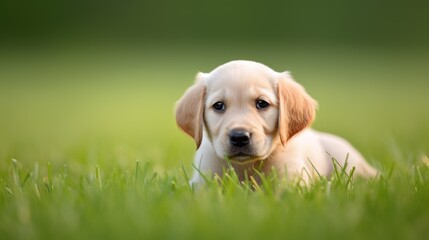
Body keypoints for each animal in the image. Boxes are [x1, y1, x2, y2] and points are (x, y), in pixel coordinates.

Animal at [176, 61, 376, 185]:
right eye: (218, 105)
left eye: (262, 103)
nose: (239, 137)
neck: (246, 167)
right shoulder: (203, 179)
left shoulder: (291, 180)